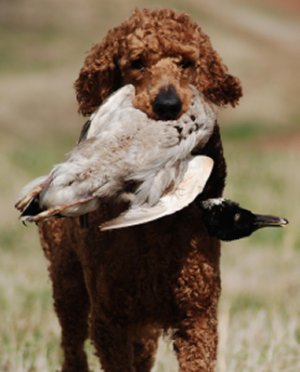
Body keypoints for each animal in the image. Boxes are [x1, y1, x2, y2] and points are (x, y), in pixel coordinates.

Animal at [38, 8, 241, 372]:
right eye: (137, 62)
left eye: (186, 62)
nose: (168, 105)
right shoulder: (110, 320)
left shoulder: (197, 316)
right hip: (68, 286)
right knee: (71, 347)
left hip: (143, 327)